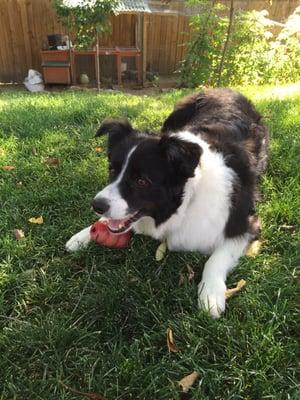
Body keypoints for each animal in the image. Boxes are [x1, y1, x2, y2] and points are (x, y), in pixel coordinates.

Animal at [65, 89, 268, 318]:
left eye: (141, 181)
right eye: (112, 170)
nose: (96, 205)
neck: (186, 202)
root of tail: (225, 89)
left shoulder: (247, 224)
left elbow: (215, 259)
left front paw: (211, 294)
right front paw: (82, 236)